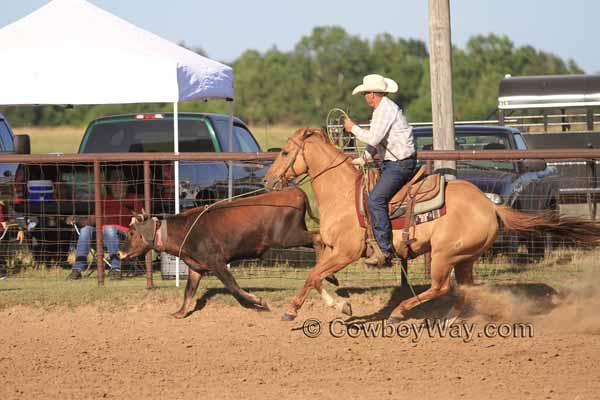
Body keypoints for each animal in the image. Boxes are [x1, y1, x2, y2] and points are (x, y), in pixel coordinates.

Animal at [264, 128, 600, 322]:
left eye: (285, 152)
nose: (268, 180)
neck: (344, 193)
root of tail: (490, 205)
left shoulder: (346, 252)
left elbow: (313, 276)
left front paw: (297, 310)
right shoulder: (332, 250)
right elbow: (316, 277)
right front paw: (336, 306)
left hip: (442, 255)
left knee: (442, 287)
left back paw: (400, 313)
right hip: (465, 258)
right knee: (463, 287)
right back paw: (452, 318)